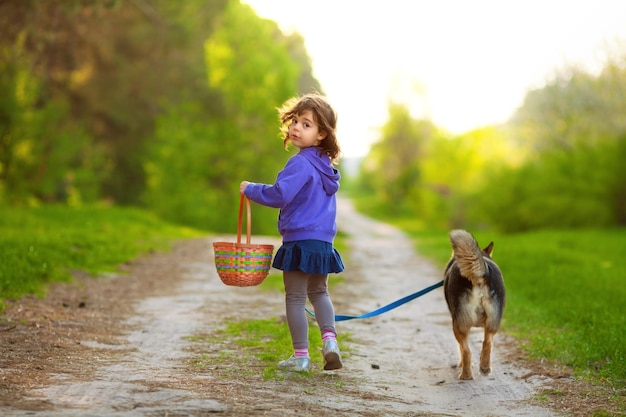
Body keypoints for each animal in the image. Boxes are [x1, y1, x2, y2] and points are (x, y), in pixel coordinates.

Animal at [442, 229, 504, 378]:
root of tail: (481, 273)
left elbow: (461, 349)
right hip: (493, 321)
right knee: (487, 343)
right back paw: (485, 368)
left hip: (459, 324)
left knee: (466, 351)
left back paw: (465, 375)